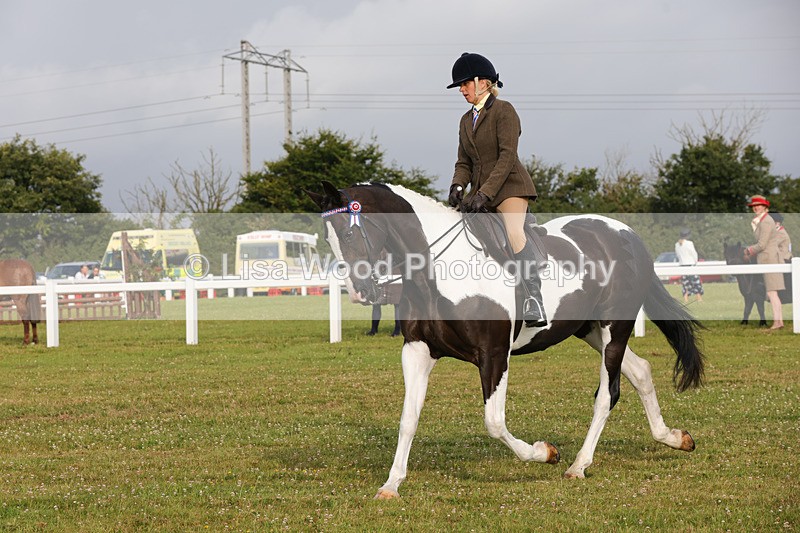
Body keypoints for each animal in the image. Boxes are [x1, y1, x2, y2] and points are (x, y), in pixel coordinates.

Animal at [308, 181, 704, 499]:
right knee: (641, 371)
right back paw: (674, 437)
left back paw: (578, 464)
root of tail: (627, 235)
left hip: (614, 328)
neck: (437, 271)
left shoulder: (495, 355)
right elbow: (408, 418)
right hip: (590, 329)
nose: (359, 293)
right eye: (328, 238)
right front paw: (391, 485)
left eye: (348, 234)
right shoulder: (417, 351)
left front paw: (546, 452)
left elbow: (495, 423)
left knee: (608, 394)